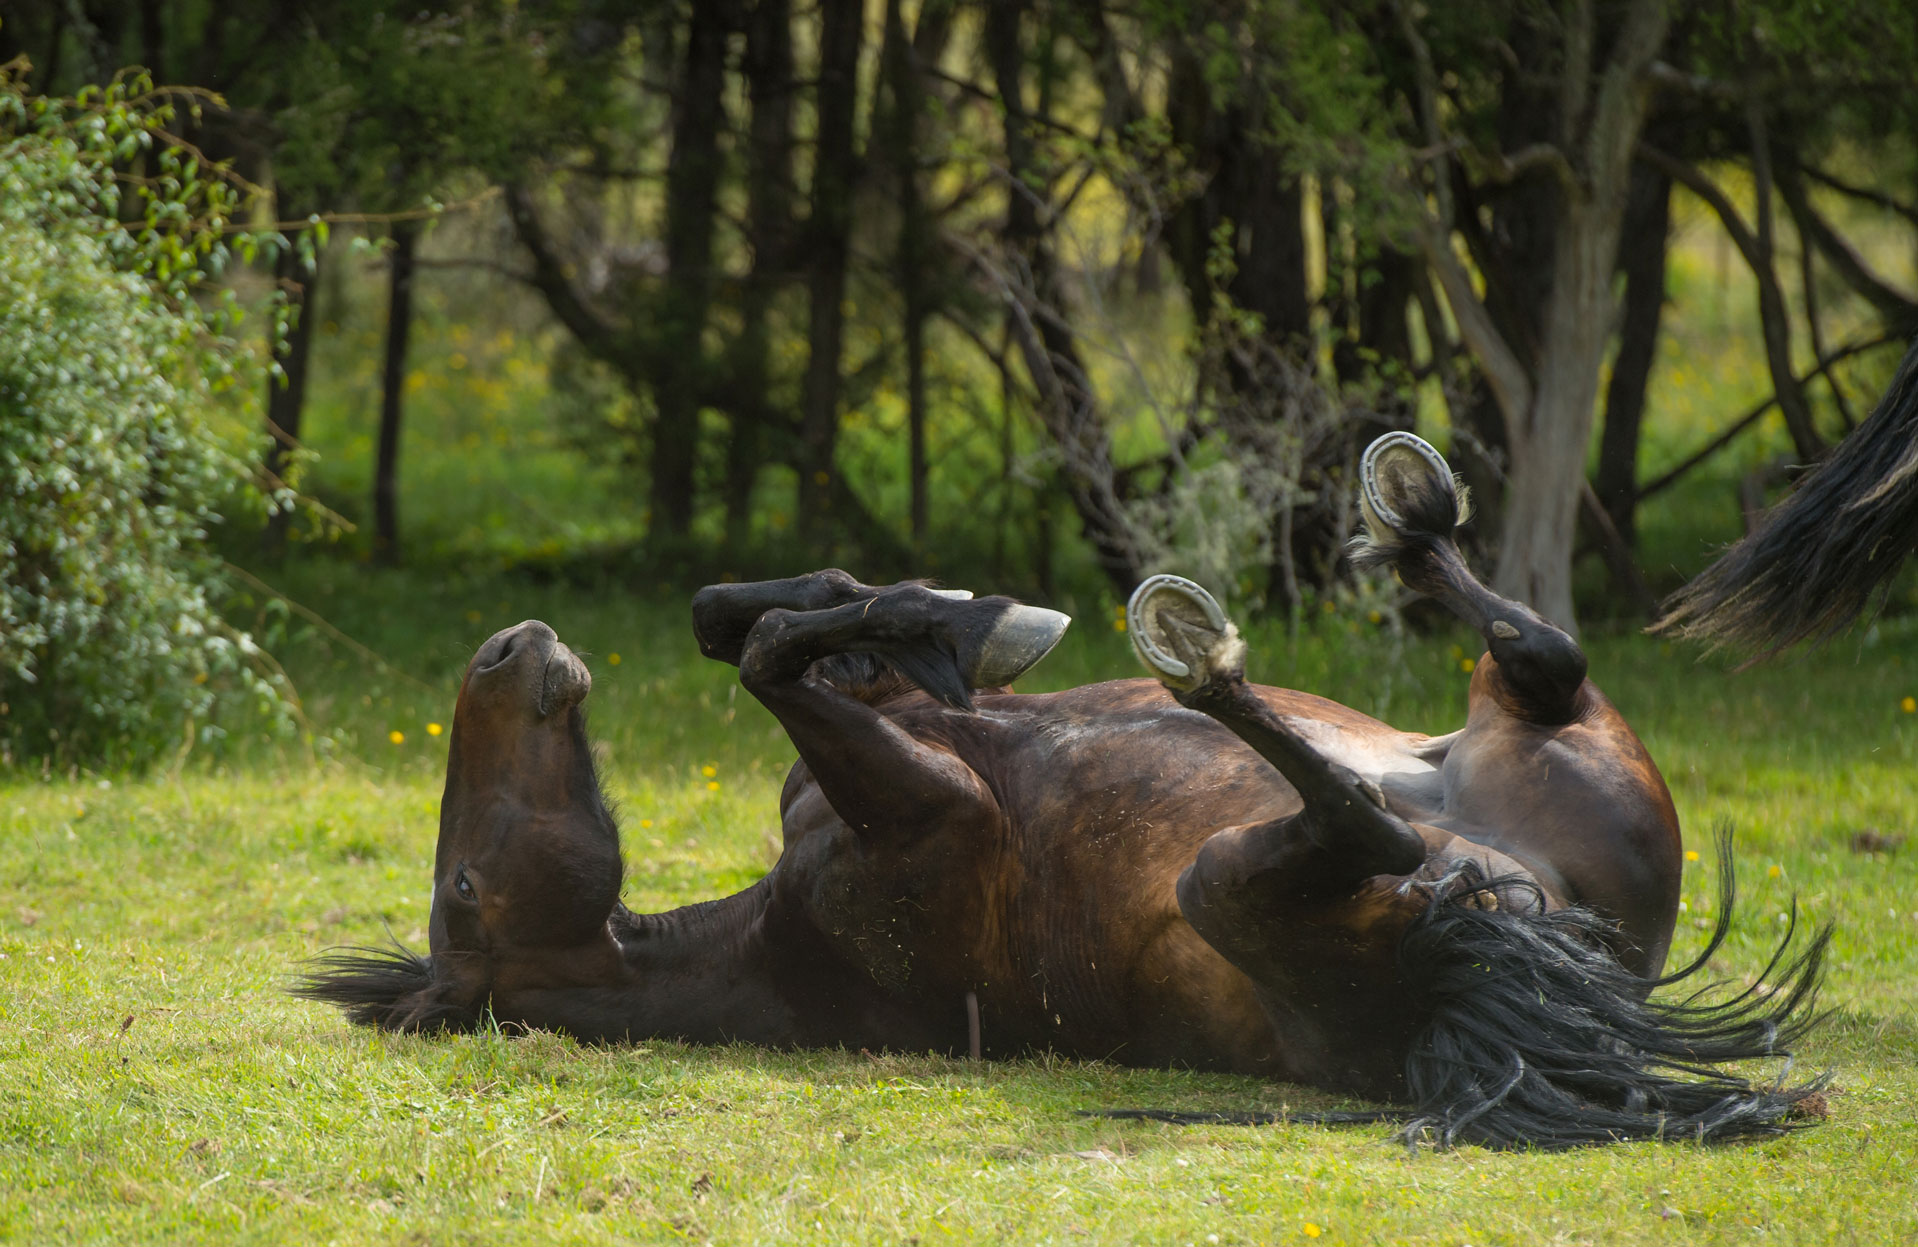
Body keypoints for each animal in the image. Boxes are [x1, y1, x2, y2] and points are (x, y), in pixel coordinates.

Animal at [303, 431, 1825, 1143]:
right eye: (461, 888)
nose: (509, 648)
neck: (773, 940)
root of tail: (1538, 948)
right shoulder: (937, 815)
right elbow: (774, 653)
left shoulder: (890, 729)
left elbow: (749, 619)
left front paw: (964, 611)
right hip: (1250, 881)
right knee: (1362, 808)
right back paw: (1203, 650)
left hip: (1535, 733)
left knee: (1529, 653)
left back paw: (1402, 506)